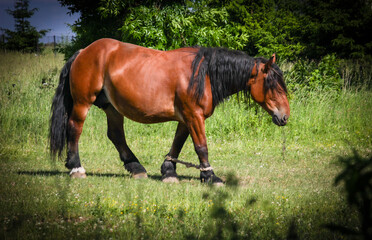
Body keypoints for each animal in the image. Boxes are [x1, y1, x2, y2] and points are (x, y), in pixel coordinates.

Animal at [48, 38, 290, 184]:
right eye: (274, 86)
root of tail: (83, 51)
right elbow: (201, 147)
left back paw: (135, 167)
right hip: (82, 103)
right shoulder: (194, 116)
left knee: (116, 135)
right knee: (74, 129)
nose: (285, 116)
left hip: (112, 107)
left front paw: (169, 171)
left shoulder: (186, 118)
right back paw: (76, 168)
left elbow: (178, 143)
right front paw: (210, 176)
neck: (204, 74)